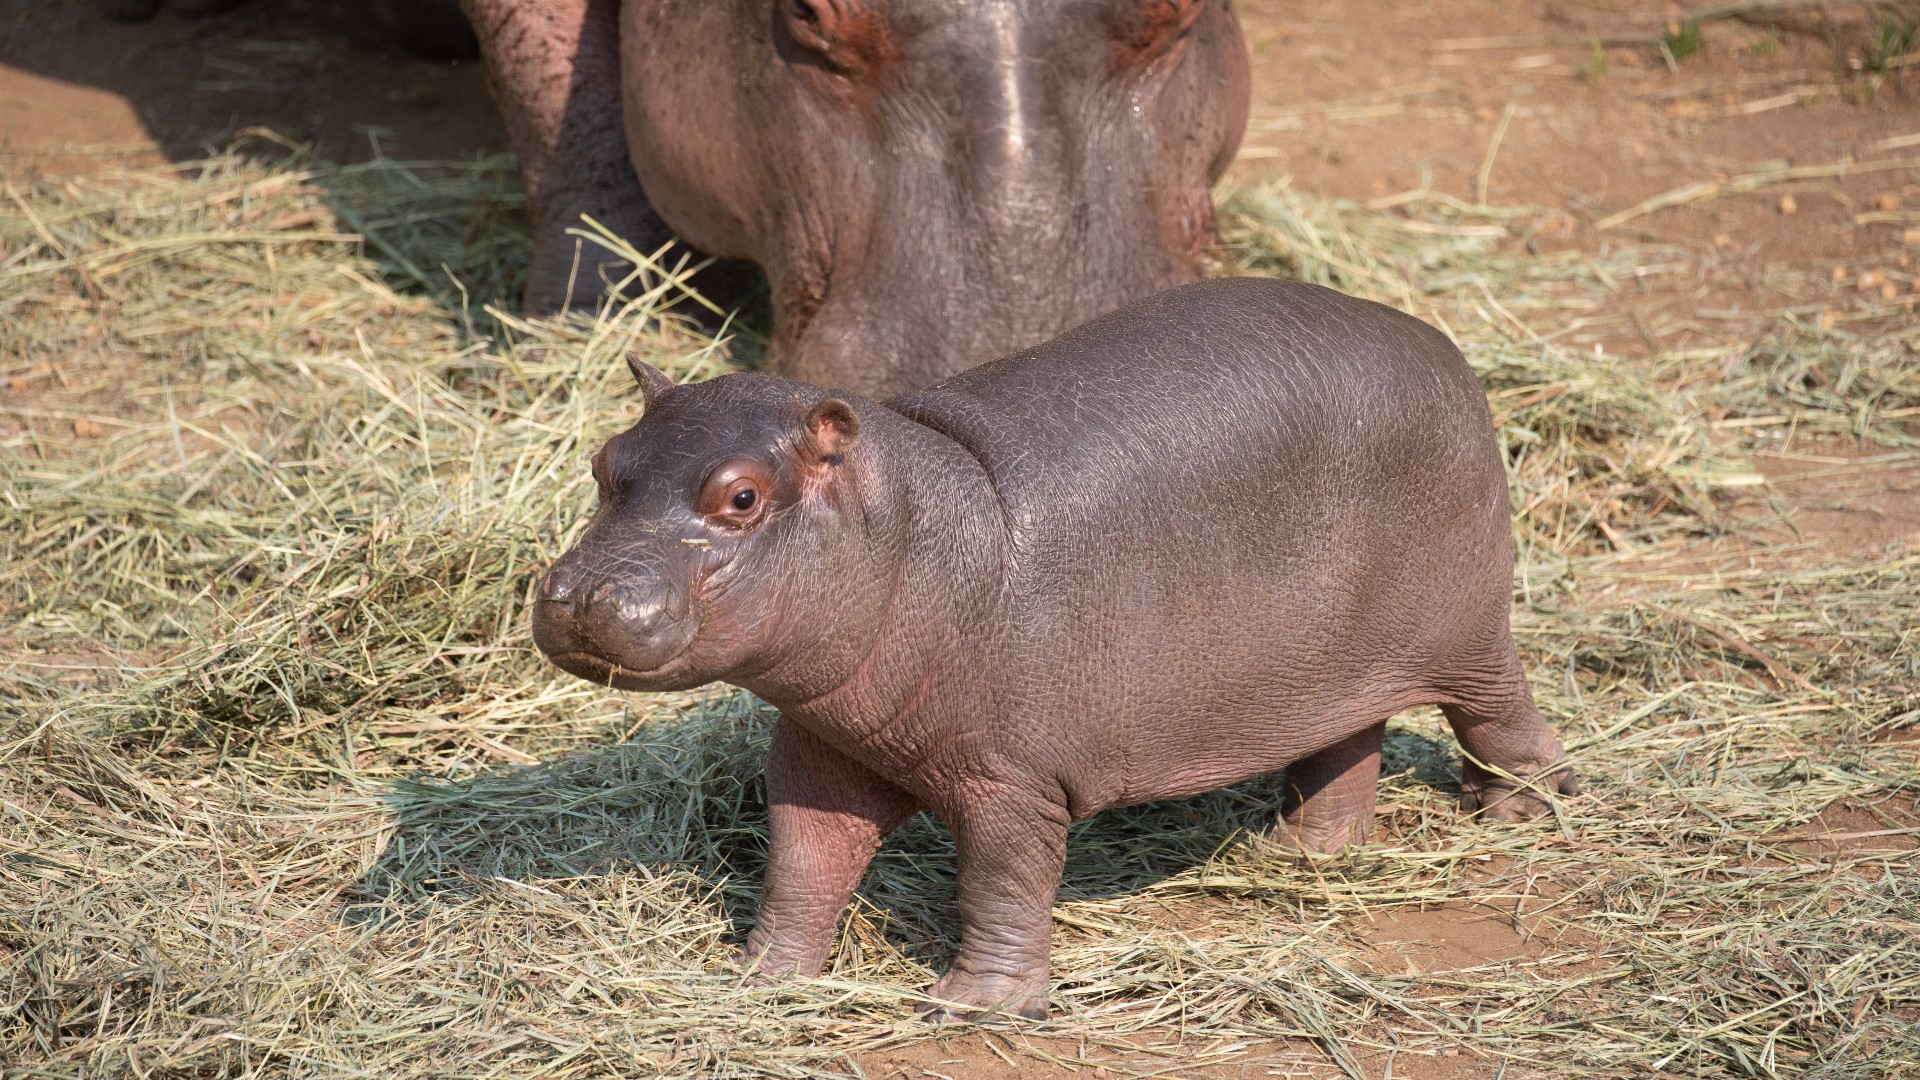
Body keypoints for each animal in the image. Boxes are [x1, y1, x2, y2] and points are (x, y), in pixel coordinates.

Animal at [537, 276, 1574, 1014]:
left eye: (743, 496)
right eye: (602, 462)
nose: (578, 594)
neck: (914, 525)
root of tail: (1433, 339)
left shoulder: (1012, 780)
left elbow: (1001, 883)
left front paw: (975, 1007)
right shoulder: (821, 747)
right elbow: (803, 862)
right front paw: (760, 978)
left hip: (1466, 628)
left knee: (1502, 713)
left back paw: (1520, 815)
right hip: (1324, 665)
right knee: (1343, 744)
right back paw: (1300, 855)